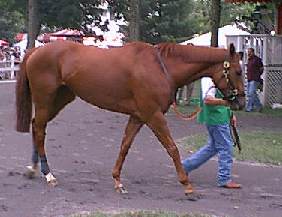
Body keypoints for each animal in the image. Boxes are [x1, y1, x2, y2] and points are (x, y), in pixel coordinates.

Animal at [16, 40, 245, 195]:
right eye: (238, 71)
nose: (241, 102)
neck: (160, 67)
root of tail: (36, 50)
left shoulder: (138, 117)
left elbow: (125, 146)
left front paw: (117, 180)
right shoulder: (153, 116)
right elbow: (171, 147)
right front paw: (186, 183)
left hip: (61, 99)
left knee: (37, 126)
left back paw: (34, 169)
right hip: (45, 100)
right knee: (39, 130)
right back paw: (48, 174)